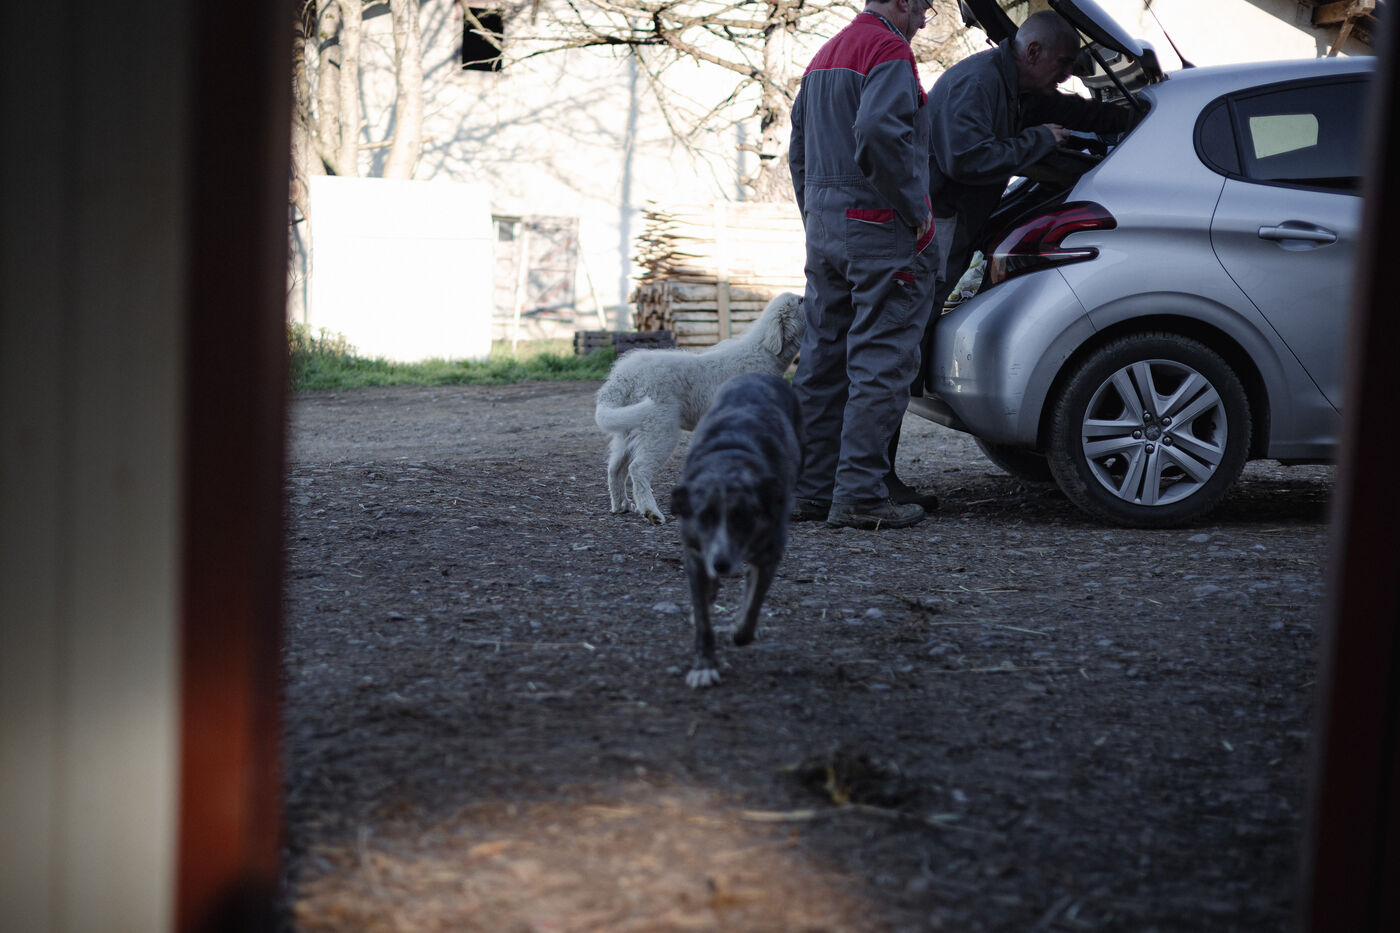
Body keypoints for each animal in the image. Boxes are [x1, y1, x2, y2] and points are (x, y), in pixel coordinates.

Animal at [595, 291, 805, 524]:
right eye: (801, 301)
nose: (804, 294)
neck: (763, 352)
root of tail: (622, 377)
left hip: (626, 427)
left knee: (615, 468)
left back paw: (621, 506)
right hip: (659, 429)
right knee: (637, 469)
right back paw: (651, 512)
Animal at [669, 373, 803, 688]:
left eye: (743, 518)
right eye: (704, 517)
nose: (721, 563)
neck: (728, 463)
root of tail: (759, 374)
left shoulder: (769, 552)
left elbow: (753, 601)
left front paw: (742, 631)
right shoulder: (696, 555)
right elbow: (703, 619)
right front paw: (704, 665)